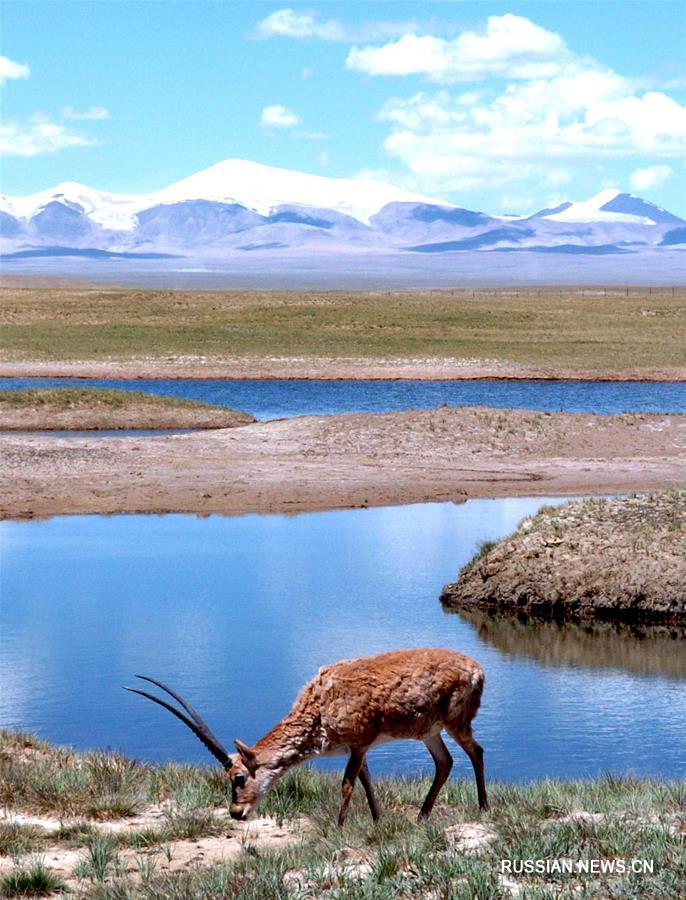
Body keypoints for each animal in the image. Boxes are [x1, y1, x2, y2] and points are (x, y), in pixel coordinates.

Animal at [125, 648, 490, 824]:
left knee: (476, 752)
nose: (236, 813)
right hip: (429, 731)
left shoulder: (358, 744)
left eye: (239, 777)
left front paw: (339, 829)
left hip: (455, 722)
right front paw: (377, 821)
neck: (320, 703)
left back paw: (483, 809)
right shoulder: (357, 749)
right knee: (445, 762)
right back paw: (421, 817)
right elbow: (366, 781)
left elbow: (347, 784)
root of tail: (477, 669)